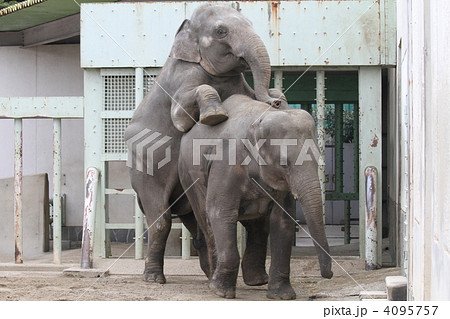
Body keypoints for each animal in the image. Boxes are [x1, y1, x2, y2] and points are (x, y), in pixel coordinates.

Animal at [123, 3, 284, 284]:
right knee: (161, 219)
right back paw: (154, 279)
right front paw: (214, 116)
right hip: (143, 167)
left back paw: (210, 277)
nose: (274, 102)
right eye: (221, 31)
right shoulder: (184, 78)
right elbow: (180, 117)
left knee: (195, 223)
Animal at [178, 95, 332, 300]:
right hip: (189, 177)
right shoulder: (226, 164)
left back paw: (256, 281)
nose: (329, 275)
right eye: (284, 164)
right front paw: (221, 292)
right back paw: (213, 281)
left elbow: (283, 220)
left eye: (318, 161)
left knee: (258, 226)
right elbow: (220, 213)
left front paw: (282, 296)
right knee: (206, 221)